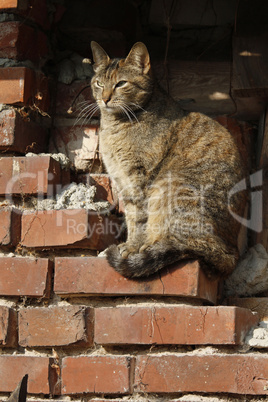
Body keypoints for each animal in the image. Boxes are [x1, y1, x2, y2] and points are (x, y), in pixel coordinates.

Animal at [90, 41, 247, 280]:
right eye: (99, 83)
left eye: (121, 84)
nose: (105, 99)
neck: (115, 124)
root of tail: (233, 255)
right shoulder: (122, 181)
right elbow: (132, 218)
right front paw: (130, 244)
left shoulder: (140, 178)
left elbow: (140, 219)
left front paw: (133, 247)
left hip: (172, 187)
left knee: (195, 245)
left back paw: (152, 247)